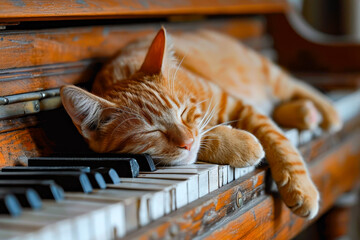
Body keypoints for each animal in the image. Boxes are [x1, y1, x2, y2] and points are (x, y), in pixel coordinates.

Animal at [60, 27, 342, 218]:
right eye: (152, 132)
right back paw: (305, 113)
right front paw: (242, 145)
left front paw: (300, 186)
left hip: (267, 74)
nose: (186, 141)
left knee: (295, 85)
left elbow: (276, 137)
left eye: (184, 112)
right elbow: (205, 139)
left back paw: (326, 110)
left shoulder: (233, 102)